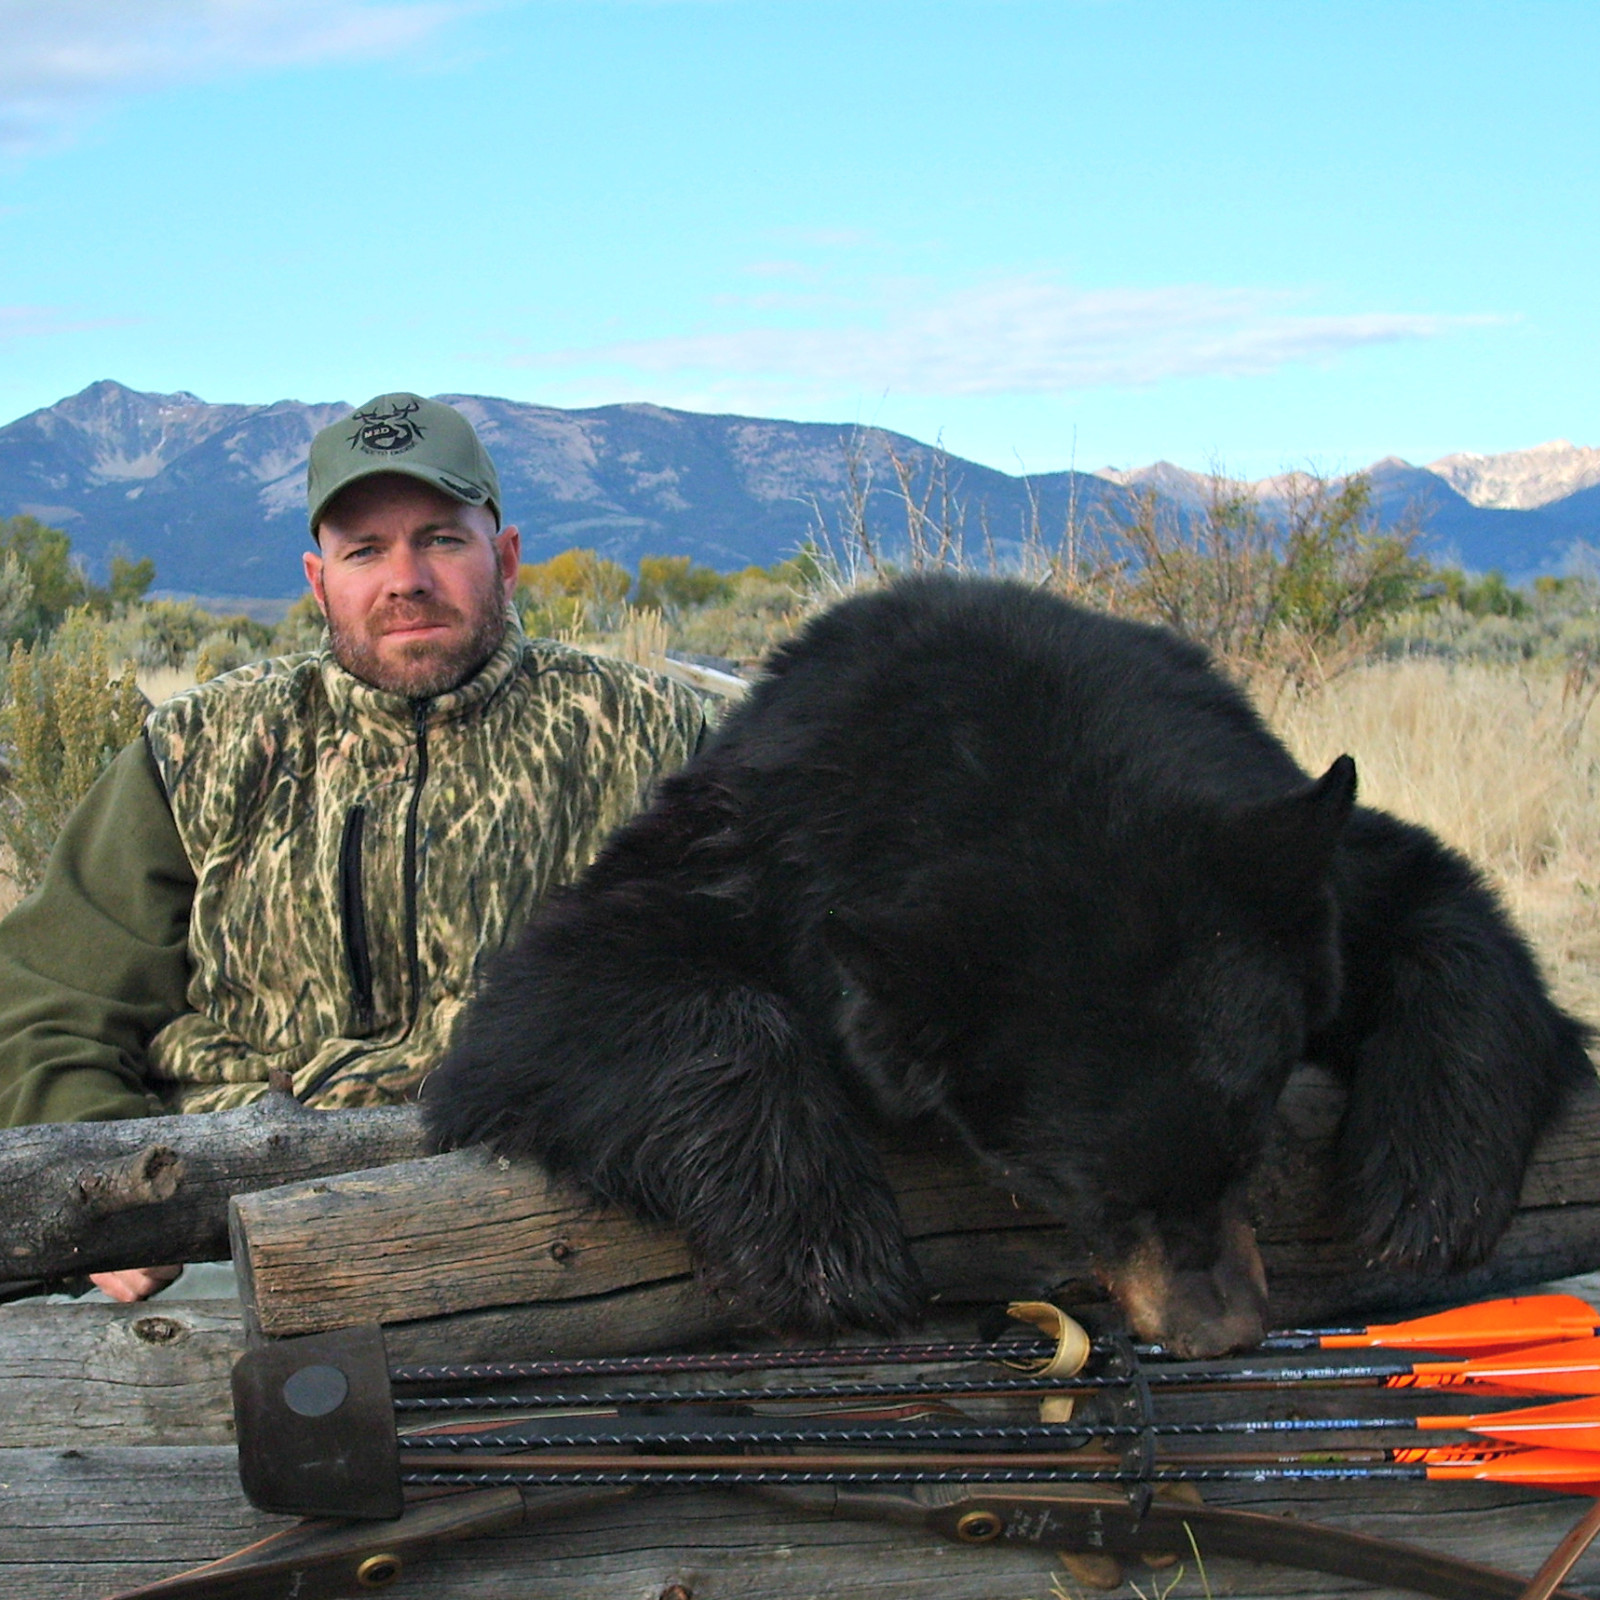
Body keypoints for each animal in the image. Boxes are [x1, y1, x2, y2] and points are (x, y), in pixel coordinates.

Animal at [424, 574, 1594, 1357]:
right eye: (1080, 1187)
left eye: (1254, 1140)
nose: (1220, 1330)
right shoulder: (749, 845)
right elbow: (561, 998)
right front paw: (825, 1245)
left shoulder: (1285, 847)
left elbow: (1438, 905)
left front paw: (1429, 1184)